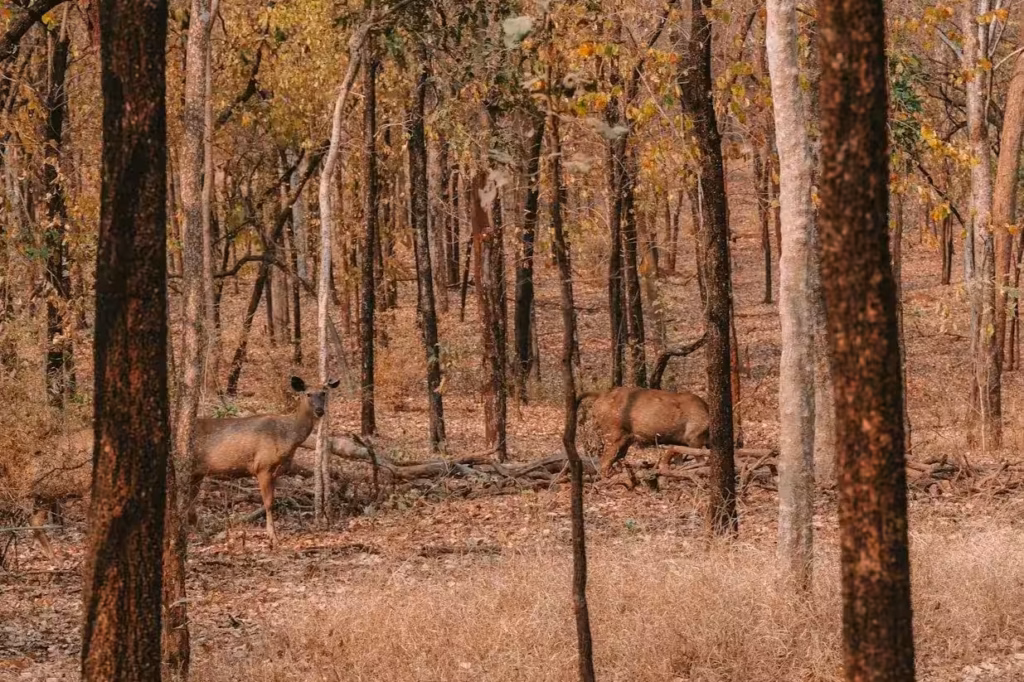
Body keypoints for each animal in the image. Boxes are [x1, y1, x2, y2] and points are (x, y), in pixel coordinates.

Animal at [186, 375, 340, 547]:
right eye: (308, 394)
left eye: (324, 393)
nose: (319, 411)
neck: (287, 438)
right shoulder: (262, 466)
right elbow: (269, 503)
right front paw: (273, 537)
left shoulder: (276, 472)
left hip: (197, 473)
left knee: (190, 506)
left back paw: (203, 535)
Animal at [580, 386, 710, 477]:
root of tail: (599, 396)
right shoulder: (693, 437)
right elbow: (701, 460)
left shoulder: (679, 442)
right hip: (613, 434)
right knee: (604, 462)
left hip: (625, 439)